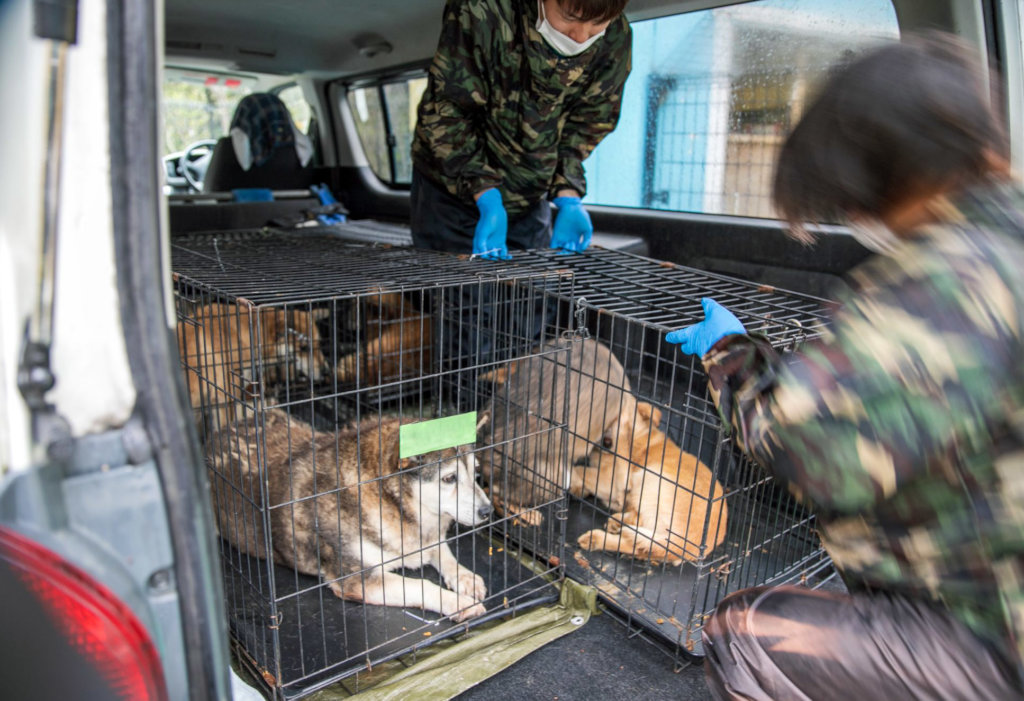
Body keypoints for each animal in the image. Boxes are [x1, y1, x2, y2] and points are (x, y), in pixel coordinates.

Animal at [207, 407, 491, 622]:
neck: (392, 503)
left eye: (477, 473)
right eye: (450, 478)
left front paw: (464, 577)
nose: (488, 510)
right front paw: (457, 603)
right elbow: (420, 585)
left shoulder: (427, 539)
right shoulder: (357, 580)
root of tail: (217, 434)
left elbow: (445, 554)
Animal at [577, 399, 729, 564]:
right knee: (638, 543)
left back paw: (600, 536)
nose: (607, 442)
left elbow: (580, 470)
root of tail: (683, 544)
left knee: (638, 524)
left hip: (650, 477)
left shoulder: (612, 480)